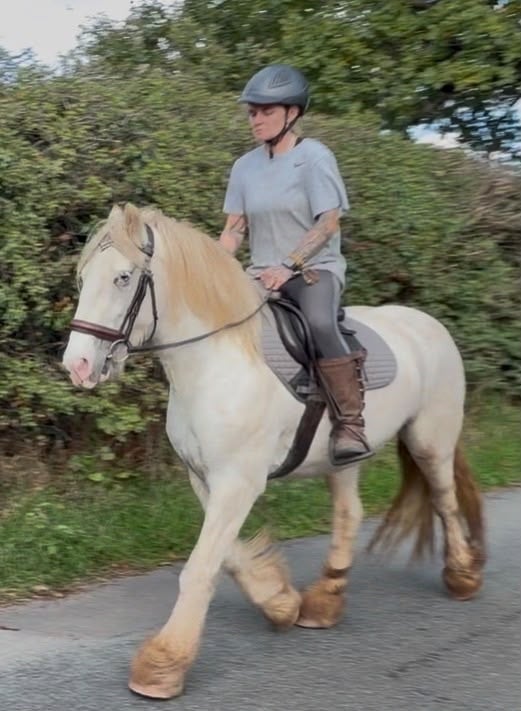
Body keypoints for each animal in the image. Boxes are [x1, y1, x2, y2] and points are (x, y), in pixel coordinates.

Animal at [62, 203, 485, 700]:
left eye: (123, 277)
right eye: (83, 276)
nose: (78, 366)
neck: (217, 361)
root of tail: (428, 324)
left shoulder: (237, 483)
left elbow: (200, 568)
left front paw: (162, 665)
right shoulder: (205, 478)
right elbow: (224, 556)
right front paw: (279, 602)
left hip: (430, 440)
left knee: (444, 501)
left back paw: (462, 576)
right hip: (344, 458)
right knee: (350, 513)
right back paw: (323, 602)